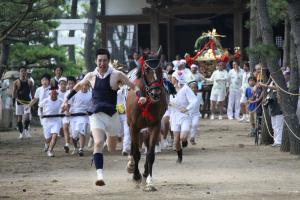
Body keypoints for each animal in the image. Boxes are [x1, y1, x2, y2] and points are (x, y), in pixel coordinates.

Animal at [125, 47, 168, 191]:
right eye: (147, 69)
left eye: (160, 69)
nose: (156, 93)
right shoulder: (134, 126)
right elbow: (136, 152)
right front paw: (136, 175)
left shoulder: (155, 125)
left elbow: (150, 154)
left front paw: (149, 181)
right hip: (131, 124)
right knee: (134, 147)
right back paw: (132, 166)